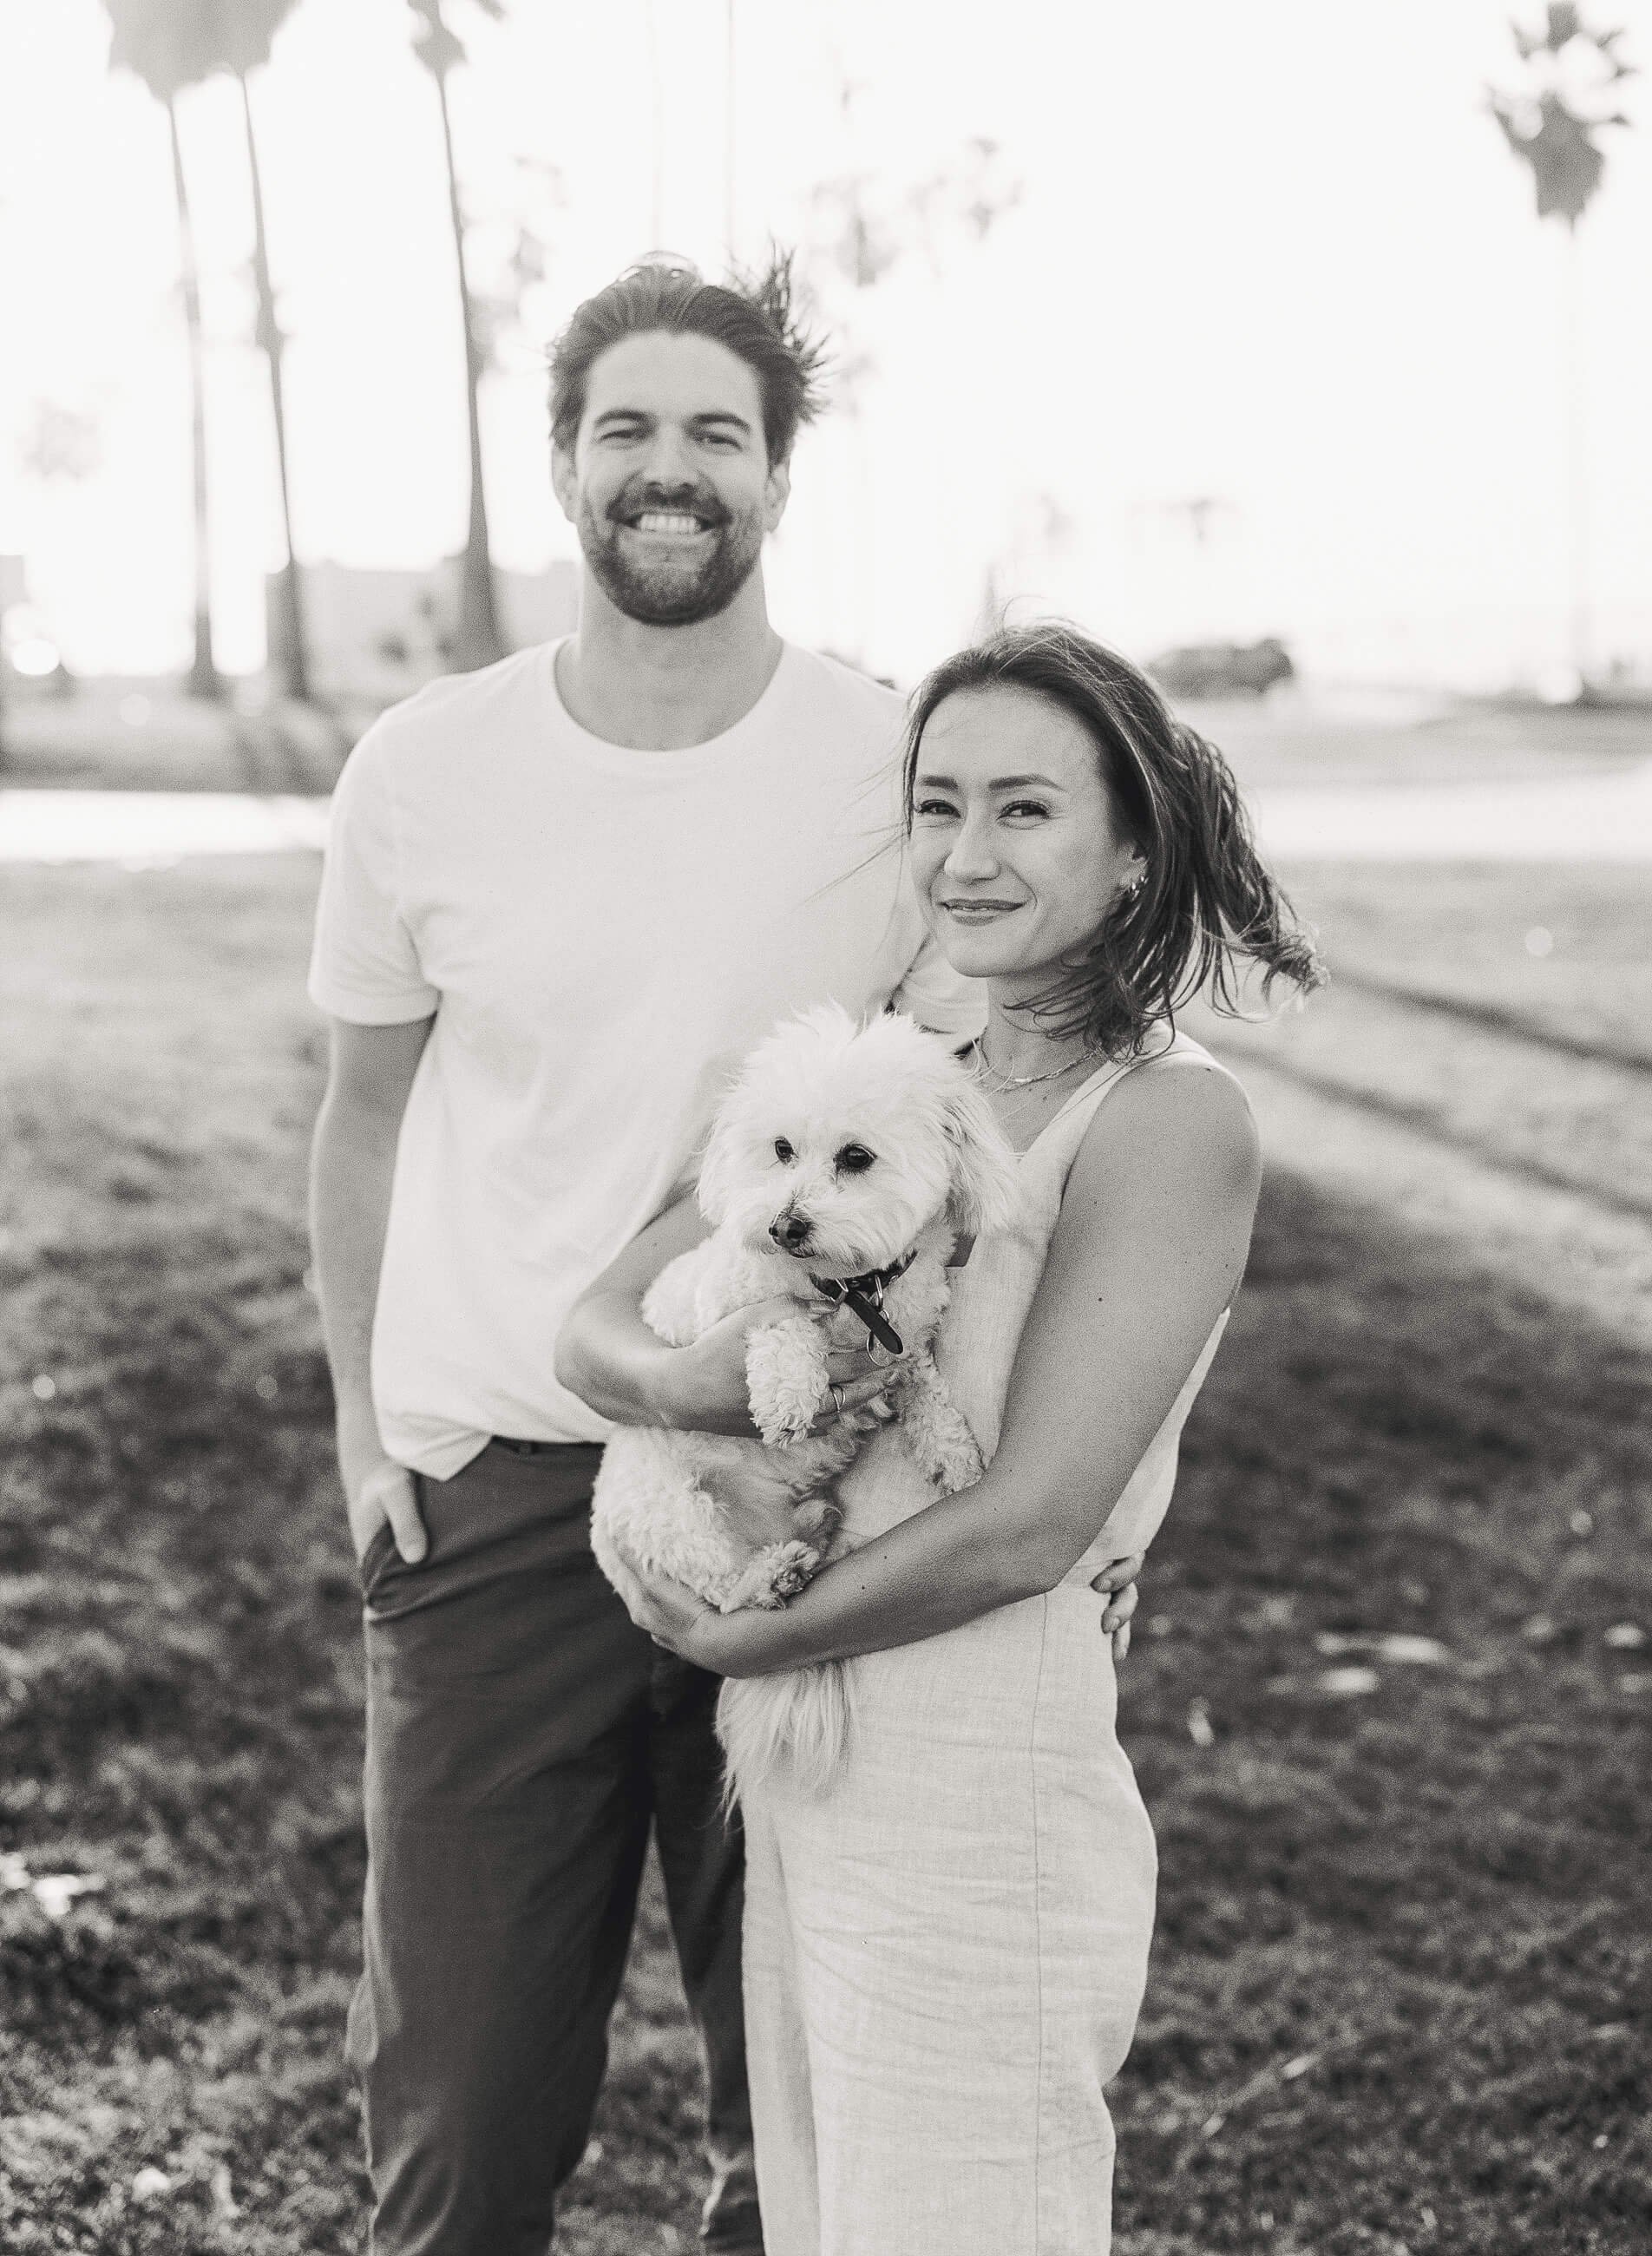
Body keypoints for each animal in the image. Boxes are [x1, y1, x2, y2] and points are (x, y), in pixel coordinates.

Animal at [587, 1006, 1011, 1795]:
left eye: (856, 1157)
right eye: (781, 1150)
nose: (784, 1226)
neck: (853, 1288)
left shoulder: (907, 1336)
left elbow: (922, 1381)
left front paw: (952, 1452)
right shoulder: (735, 1304)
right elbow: (781, 1324)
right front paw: (790, 1394)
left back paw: (811, 1529)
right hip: (667, 1504)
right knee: (722, 1585)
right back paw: (773, 1572)